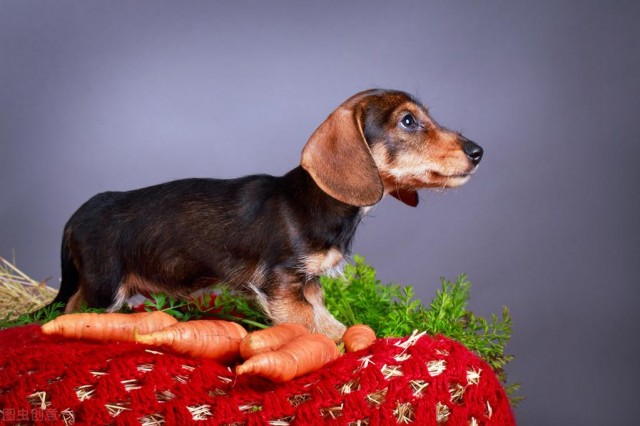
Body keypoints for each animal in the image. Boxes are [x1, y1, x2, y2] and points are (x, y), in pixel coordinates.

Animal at [47, 90, 482, 340]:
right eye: (408, 121)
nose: (478, 151)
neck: (316, 201)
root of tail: (76, 216)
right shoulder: (282, 282)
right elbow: (310, 327)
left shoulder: (309, 284)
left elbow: (328, 322)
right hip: (106, 289)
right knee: (70, 312)